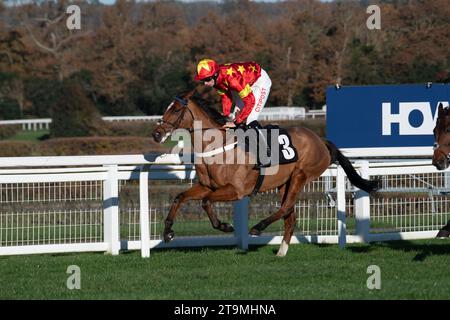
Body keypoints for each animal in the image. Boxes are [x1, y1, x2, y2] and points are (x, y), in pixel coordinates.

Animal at [152, 91, 380, 256]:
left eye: (176, 110)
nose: (156, 134)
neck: (218, 147)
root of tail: (321, 140)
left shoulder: (236, 190)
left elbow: (206, 202)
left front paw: (224, 226)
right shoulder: (208, 186)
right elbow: (180, 197)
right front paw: (168, 232)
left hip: (301, 175)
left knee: (286, 208)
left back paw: (258, 227)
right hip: (284, 183)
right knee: (290, 215)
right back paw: (281, 251)